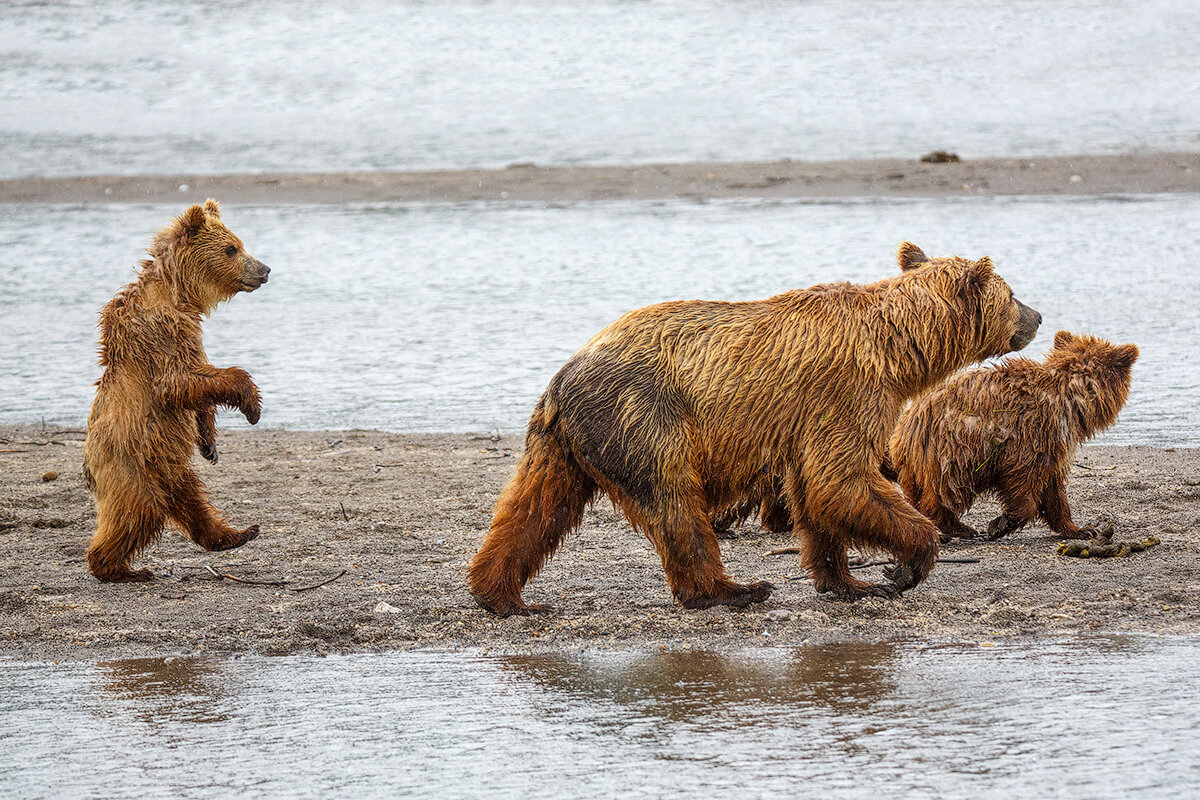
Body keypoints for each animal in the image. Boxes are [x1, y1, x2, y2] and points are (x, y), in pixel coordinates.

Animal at [83, 200, 271, 582]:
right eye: (232, 248)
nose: (265, 269)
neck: (179, 294)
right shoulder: (162, 332)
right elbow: (178, 383)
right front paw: (252, 404)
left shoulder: (188, 333)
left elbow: (199, 385)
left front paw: (210, 442)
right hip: (131, 467)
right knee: (138, 512)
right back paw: (119, 569)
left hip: (170, 465)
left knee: (194, 501)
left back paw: (236, 534)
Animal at [465, 241, 1041, 618]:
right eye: (1013, 292)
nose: (1036, 316)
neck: (899, 349)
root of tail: (563, 379)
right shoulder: (846, 392)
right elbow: (843, 480)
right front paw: (905, 565)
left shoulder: (814, 418)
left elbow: (817, 492)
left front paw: (850, 581)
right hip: (644, 417)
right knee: (676, 504)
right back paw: (733, 589)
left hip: (564, 442)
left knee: (533, 508)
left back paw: (502, 594)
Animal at [892, 328, 1132, 542]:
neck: (1070, 398)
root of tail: (904, 429)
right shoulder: (1029, 434)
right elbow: (1022, 481)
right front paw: (1000, 523)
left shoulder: (1053, 446)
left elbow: (1054, 490)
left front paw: (1079, 529)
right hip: (954, 448)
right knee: (949, 489)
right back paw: (952, 528)